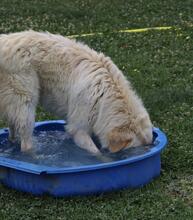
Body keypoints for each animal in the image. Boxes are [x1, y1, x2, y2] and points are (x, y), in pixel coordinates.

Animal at [0, 30, 153, 155]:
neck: (106, 95)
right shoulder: (79, 129)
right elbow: (96, 153)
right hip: (26, 105)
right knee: (26, 143)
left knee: (12, 129)